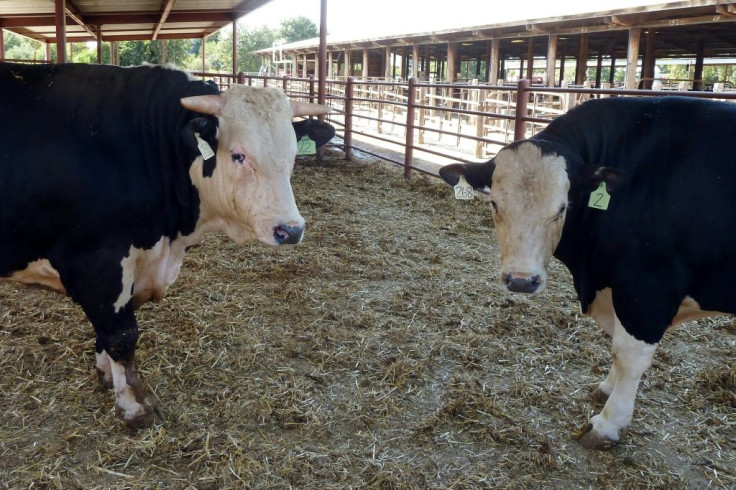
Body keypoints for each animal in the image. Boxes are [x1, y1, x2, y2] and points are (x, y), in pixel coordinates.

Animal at [0, 62, 328, 428]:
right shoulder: (97, 263)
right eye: (238, 155)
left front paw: (107, 374)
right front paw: (134, 405)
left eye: (292, 155)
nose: (291, 230)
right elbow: (121, 335)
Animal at [440, 94, 736, 448]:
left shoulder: (647, 289)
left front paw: (608, 423)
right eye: (495, 203)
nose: (522, 281)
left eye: (562, 208)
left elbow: (629, 356)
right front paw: (606, 388)